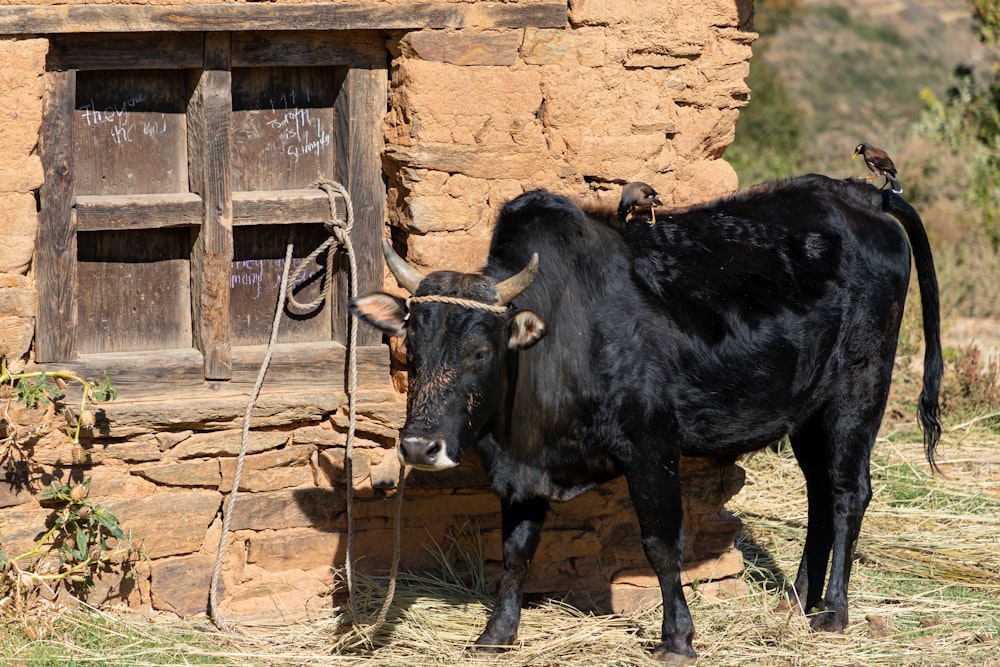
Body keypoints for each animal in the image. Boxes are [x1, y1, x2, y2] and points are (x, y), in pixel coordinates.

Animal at [350, 175, 936, 664]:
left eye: (479, 352)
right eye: (412, 348)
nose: (419, 447)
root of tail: (861, 193)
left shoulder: (651, 446)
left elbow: (660, 545)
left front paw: (677, 638)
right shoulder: (523, 472)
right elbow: (516, 551)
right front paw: (497, 633)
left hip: (859, 389)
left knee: (847, 493)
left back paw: (831, 612)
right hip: (809, 414)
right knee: (820, 493)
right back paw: (795, 601)